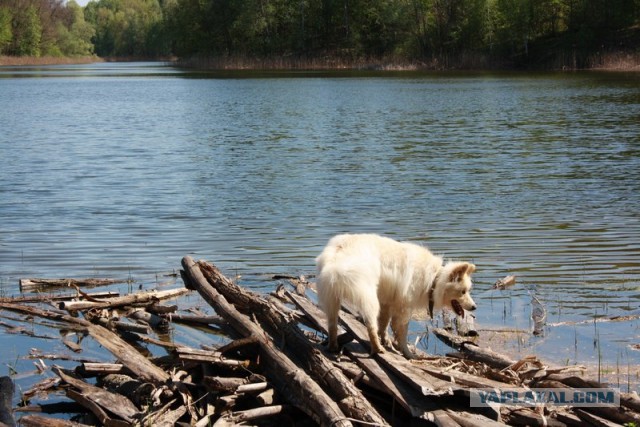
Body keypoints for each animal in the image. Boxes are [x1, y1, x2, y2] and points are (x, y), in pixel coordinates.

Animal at [316, 234, 476, 358]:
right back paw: (378, 349)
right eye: (463, 291)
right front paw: (407, 353)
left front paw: (387, 341)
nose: (474, 307)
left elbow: (384, 325)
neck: (434, 280)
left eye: (468, 290)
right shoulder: (403, 309)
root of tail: (339, 254)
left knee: (332, 325)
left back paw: (333, 346)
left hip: (332, 298)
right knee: (370, 325)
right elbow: (401, 334)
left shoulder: (387, 303)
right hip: (368, 297)